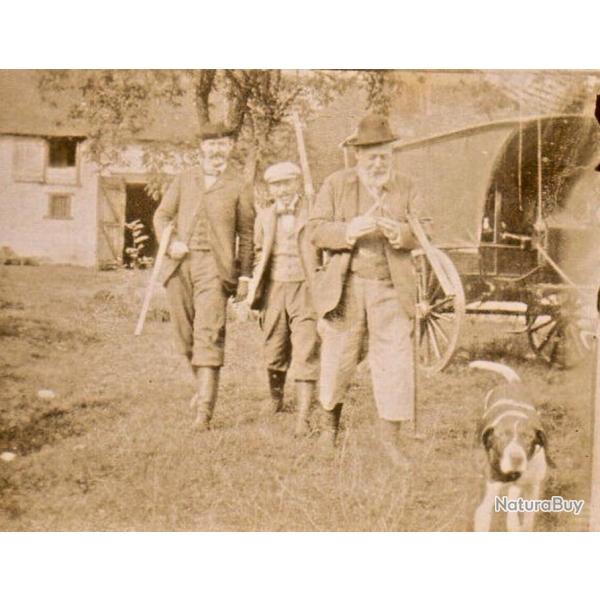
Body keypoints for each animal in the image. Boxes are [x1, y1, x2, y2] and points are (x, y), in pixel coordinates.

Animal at [468, 360, 552, 528]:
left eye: (528, 437)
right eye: (501, 436)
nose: (516, 459)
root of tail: (512, 384)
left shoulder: (532, 486)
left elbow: (526, 521)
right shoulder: (491, 490)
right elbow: (484, 516)